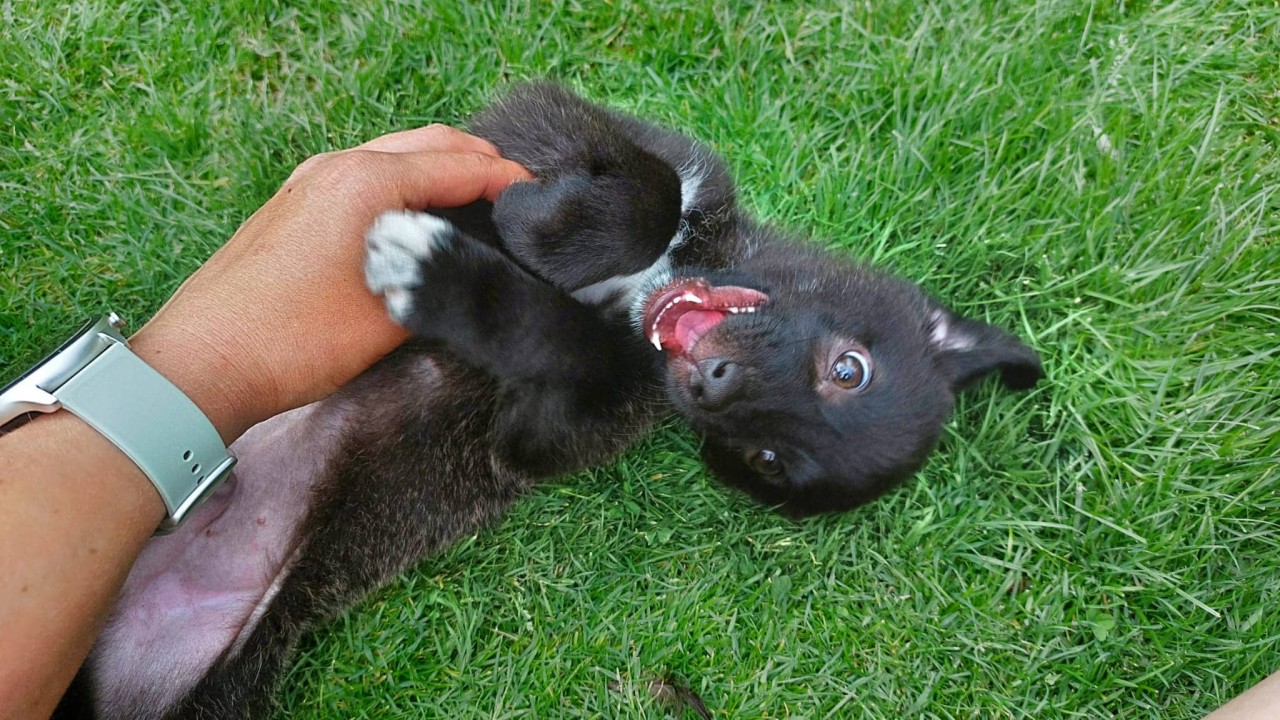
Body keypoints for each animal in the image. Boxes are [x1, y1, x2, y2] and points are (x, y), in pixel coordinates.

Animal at [57, 82, 1039, 717]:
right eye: (849, 369)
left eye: (765, 460)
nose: (713, 384)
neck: (666, 284)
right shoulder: (530, 129)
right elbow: (644, 188)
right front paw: (546, 234)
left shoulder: (545, 432)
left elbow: (556, 349)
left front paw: (444, 280)